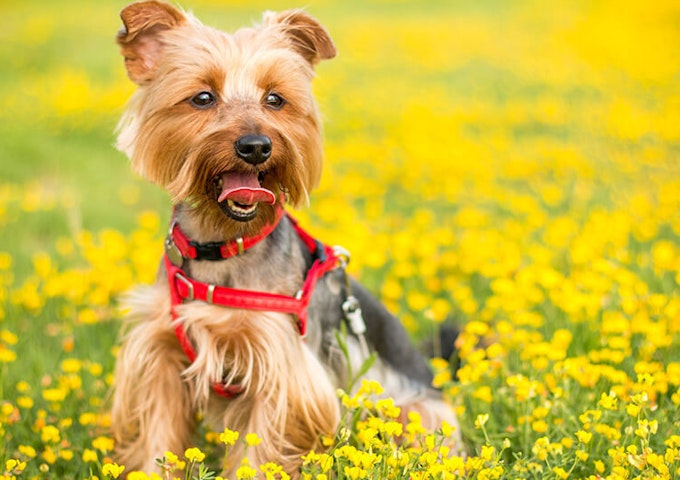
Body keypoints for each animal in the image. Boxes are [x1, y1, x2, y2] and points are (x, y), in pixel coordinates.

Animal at [111, 0, 462, 476]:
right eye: (202, 97)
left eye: (275, 99)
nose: (256, 145)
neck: (223, 246)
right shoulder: (161, 355)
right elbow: (159, 438)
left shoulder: (282, 369)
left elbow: (260, 450)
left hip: (413, 410)